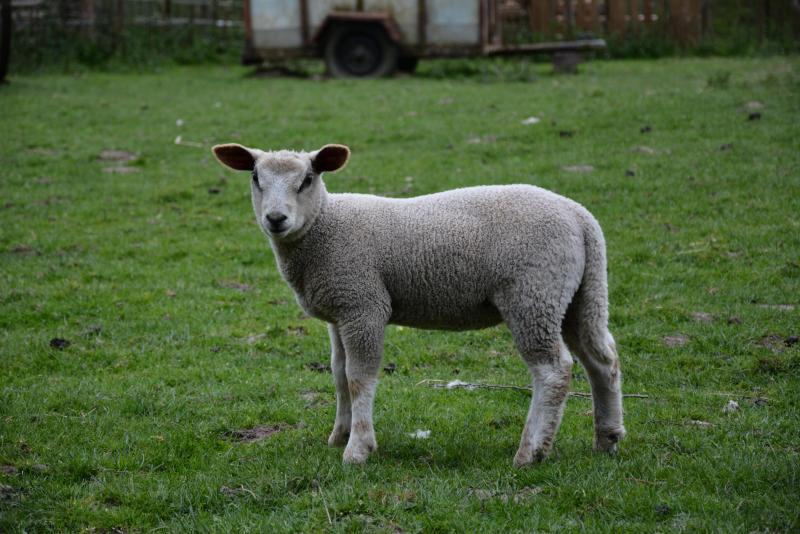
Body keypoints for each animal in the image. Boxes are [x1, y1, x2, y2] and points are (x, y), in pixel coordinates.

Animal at [211, 144, 624, 466]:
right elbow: (338, 374)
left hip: (532, 295)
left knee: (553, 370)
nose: (275, 219)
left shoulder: (363, 304)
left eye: (307, 179)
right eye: (255, 178)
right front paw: (339, 434)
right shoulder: (339, 311)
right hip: (577, 296)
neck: (325, 227)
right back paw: (607, 438)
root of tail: (580, 217)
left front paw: (358, 448)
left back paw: (531, 452)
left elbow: (359, 377)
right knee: (602, 359)